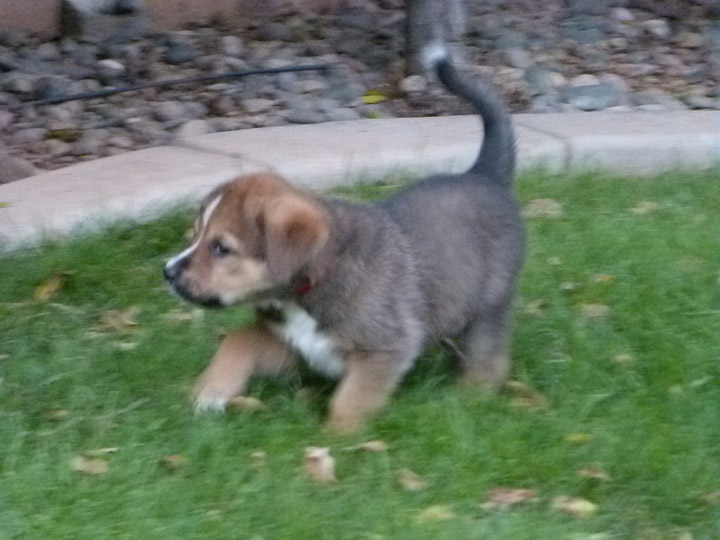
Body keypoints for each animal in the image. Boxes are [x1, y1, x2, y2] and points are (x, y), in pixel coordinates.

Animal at [163, 46, 524, 434]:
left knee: (488, 358)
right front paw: (207, 394)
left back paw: (471, 398)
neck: (310, 286)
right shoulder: (291, 343)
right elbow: (236, 341)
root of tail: (484, 173)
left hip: (490, 304)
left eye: (221, 248)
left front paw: (337, 440)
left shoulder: (384, 349)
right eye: (197, 234)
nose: (167, 272)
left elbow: (350, 401)